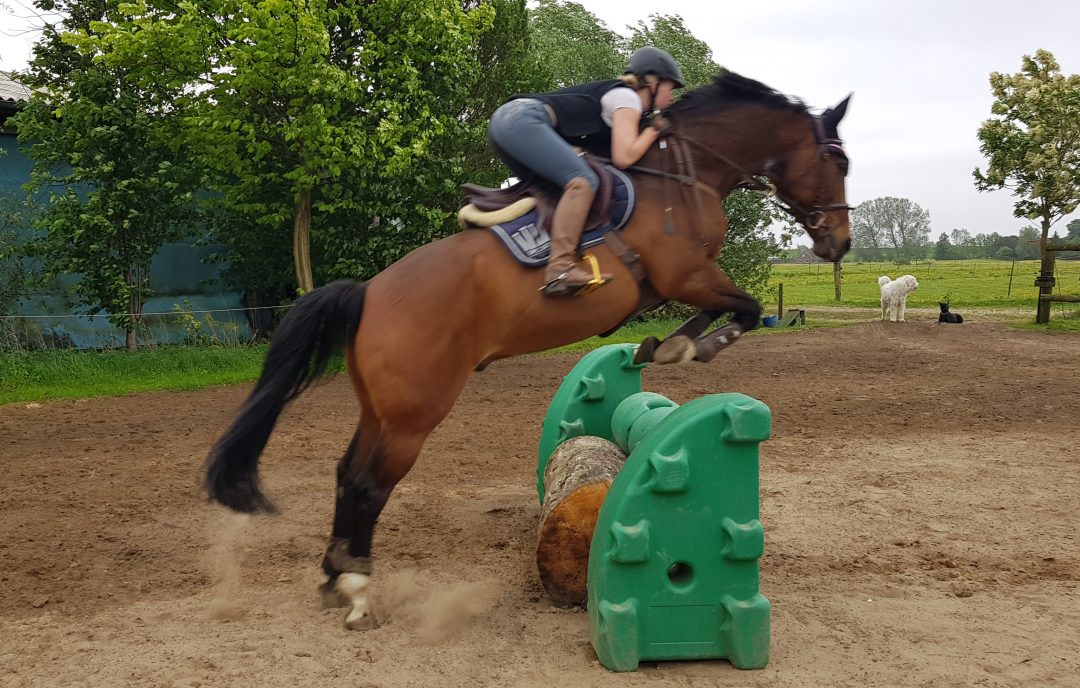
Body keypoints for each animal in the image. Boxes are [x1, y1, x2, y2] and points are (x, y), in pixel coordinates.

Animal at [204, 73, 851, 626]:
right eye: (838, 161)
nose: (839, 243)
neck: (680, 177)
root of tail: (368, 294)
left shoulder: (687, 282)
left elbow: (727, 310)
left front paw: (661, 347)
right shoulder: (687, 274)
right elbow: (744, 309)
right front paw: (683, 350)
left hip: (381, 409)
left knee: (345, 474)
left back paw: (333, 578)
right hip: (415, 415)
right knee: (367, 485)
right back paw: (359, 593)